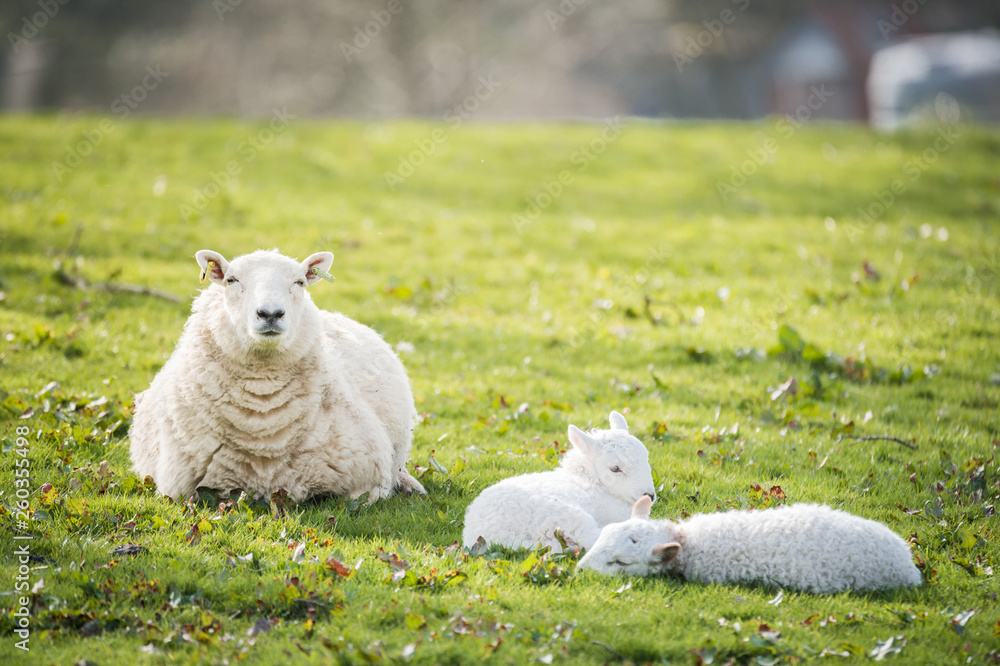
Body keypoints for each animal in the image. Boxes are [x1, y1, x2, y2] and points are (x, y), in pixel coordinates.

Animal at [462, 411, 657, 553]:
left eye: (646, 457)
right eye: (615, 468)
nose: (649, 495)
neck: (590, 481)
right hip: (562, 517)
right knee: (590, 537)